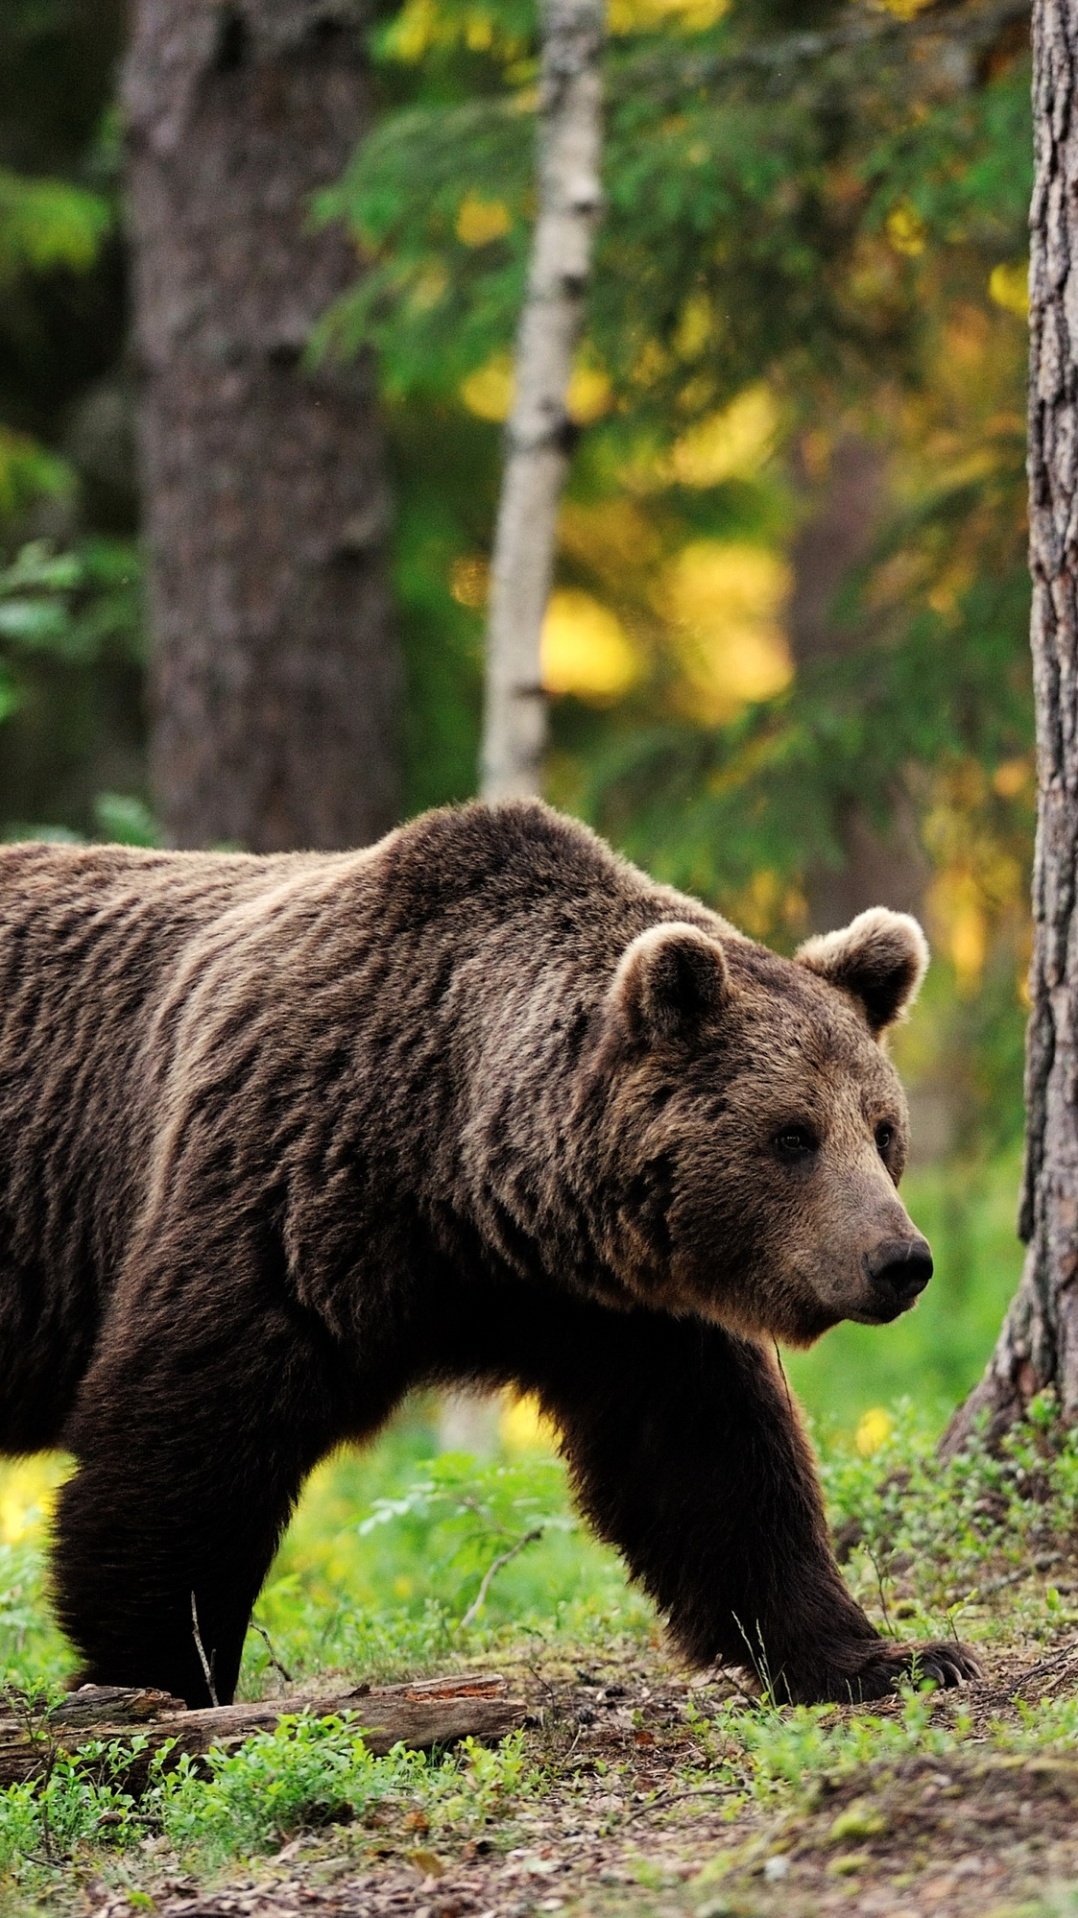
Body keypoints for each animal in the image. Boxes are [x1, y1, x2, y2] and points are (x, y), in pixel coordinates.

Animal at [0, 801, 974, 1703]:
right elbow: (189, 1432)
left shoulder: (616, 1307)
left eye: (881, 1130)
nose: (900, 1260)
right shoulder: (285, 1185)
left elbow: (714, 1463)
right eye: (792, 1135)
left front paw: (889, 1656)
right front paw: (162, 1681)